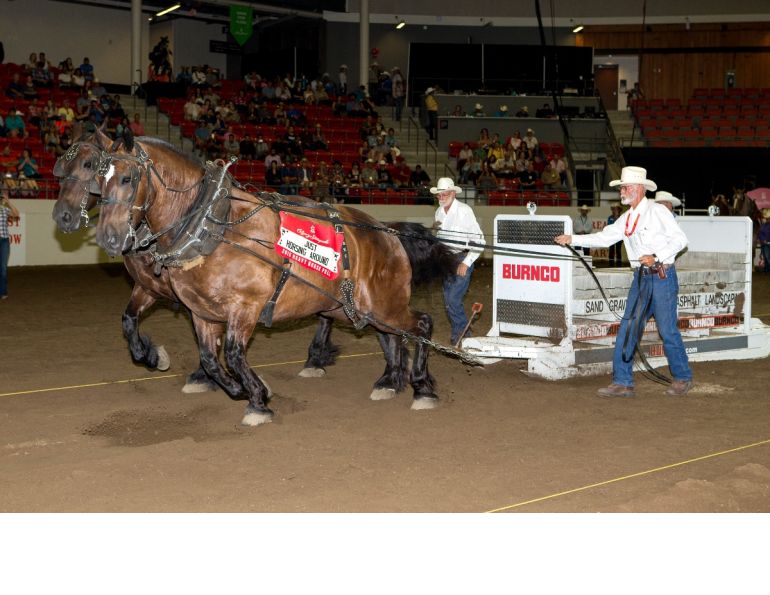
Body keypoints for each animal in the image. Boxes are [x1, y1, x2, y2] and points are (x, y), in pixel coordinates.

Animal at [93, 135, 457, 425]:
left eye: (127, 178)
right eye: (99, 179)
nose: (108, 238)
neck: (213, 227)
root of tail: (388, 233)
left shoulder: (245, 307)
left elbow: (234, 354)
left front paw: (257, 398)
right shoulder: (201, 311)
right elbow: (210, 359)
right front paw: (239, 388)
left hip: (384, 304)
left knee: (421, 325)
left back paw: (421, 387)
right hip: (352, 307)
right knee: (391, 336)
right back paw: (389, 382)